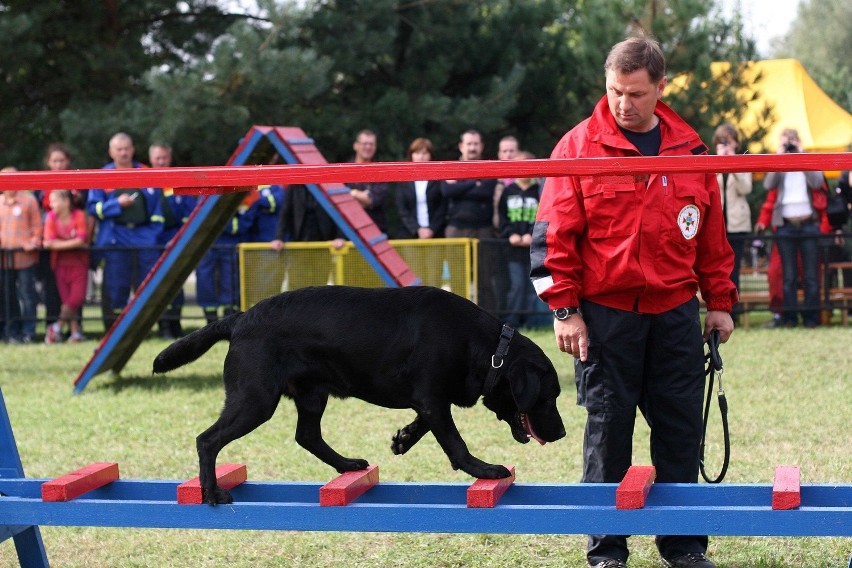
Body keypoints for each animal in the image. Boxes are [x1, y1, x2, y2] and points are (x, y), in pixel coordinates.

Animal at [153, 286, 564, 504]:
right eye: (549, 396)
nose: (561, 433)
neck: (488, 348)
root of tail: (238, 319)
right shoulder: (433, 398)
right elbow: (456, 444)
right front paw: (485, 470)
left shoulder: (431, 401)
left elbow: (425, 424)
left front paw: (403, 438)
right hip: (255, 399)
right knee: (207, 440)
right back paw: (211, 492)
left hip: (310, 394)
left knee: (307, 436)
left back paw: (347, 464)